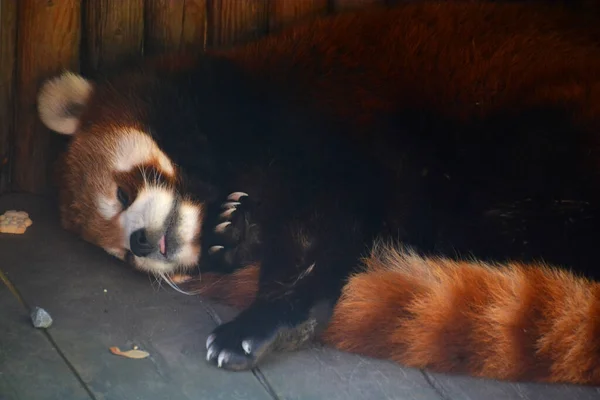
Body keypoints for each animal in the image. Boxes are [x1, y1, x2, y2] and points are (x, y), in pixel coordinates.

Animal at [36, 1, 600, 386]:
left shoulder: (317, 121)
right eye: (120, 255)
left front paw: (264, 321)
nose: (139, 242)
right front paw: (230, 234)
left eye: (123, 191)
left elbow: (323, 224)